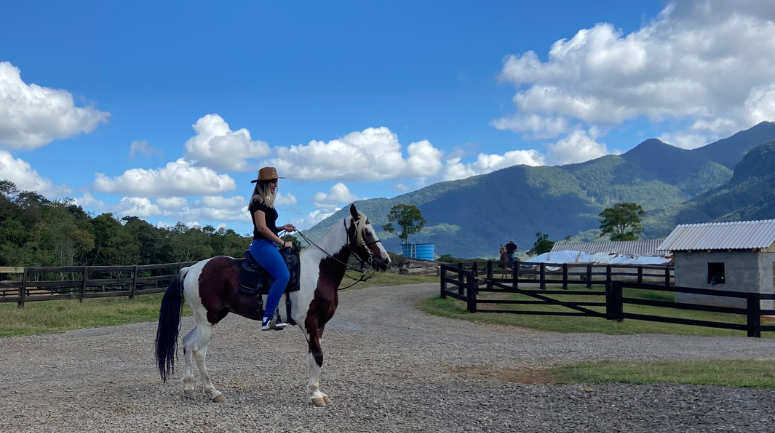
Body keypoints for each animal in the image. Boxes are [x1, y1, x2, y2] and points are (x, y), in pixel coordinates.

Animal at [154, 204, 390, 406]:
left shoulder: (319, 325)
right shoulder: (310, 322)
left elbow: (312, 357)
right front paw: (315, 395)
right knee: (199, 351)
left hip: (207, 319)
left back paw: (189, 389)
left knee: (187, 343)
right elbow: (318, 356)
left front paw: (316, 392)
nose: (385, 261)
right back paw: (213, 392)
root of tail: (192, 269)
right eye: (366, 232)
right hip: (207, 321)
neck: (318, 270)